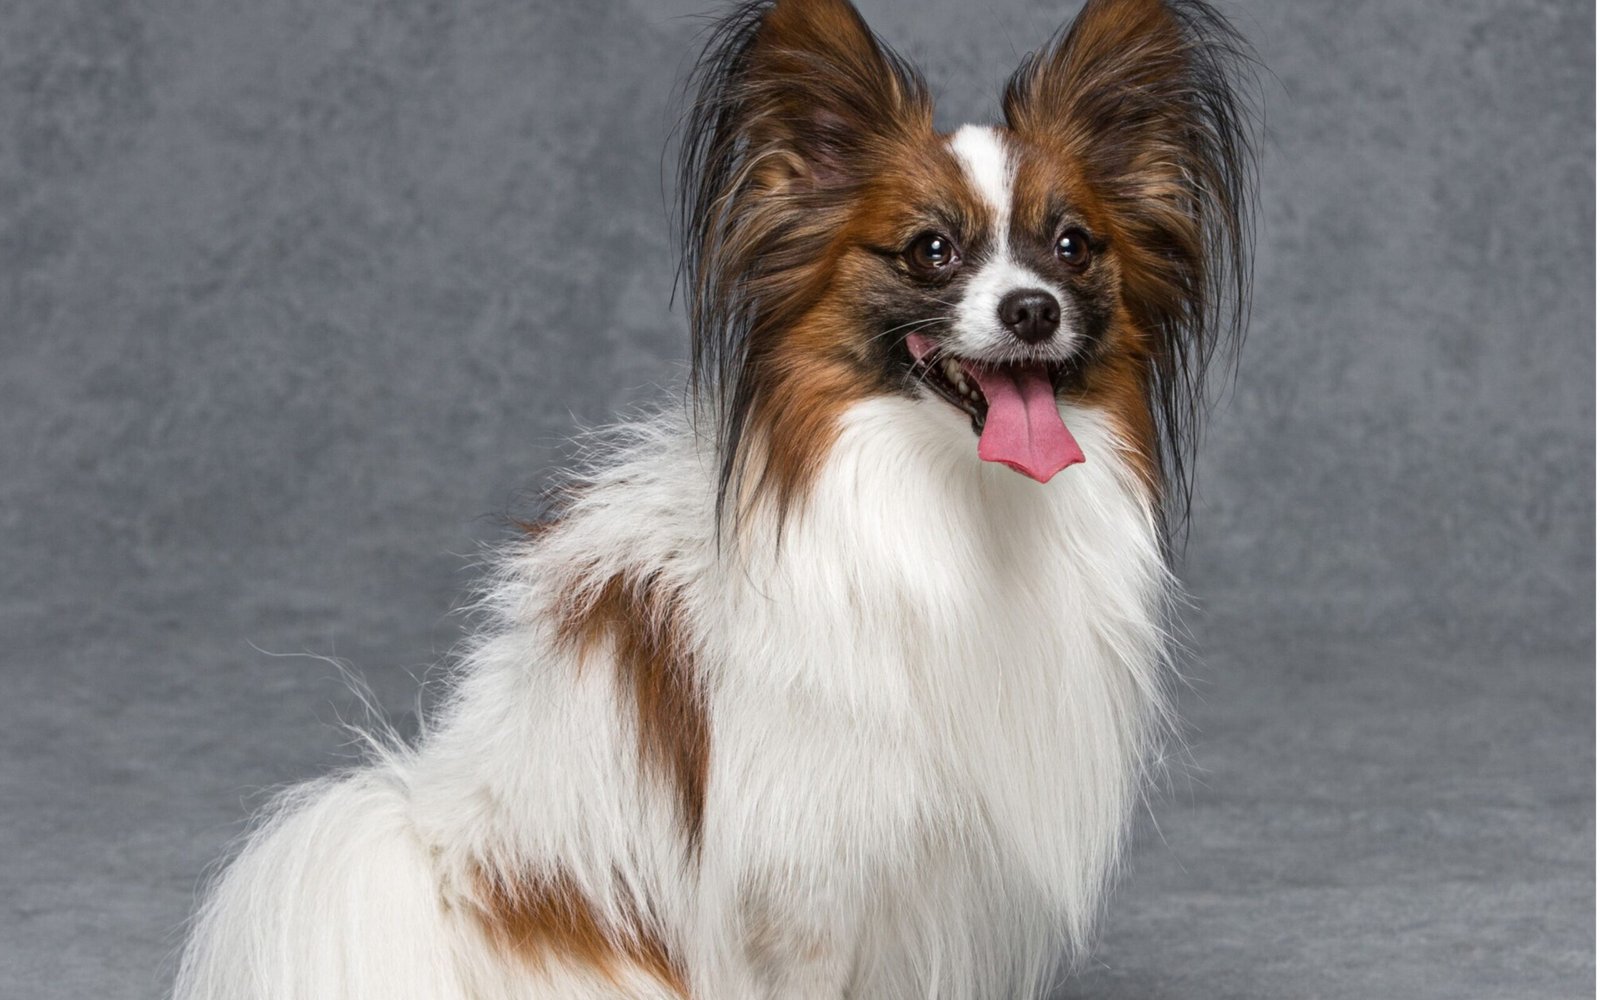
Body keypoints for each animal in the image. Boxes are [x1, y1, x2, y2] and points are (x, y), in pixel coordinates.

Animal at [172, 0, 1248, 992]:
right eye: (930, 251)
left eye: (1072, 247)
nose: (1031, 310)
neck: (957, 504)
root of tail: (434, 854)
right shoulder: (808, 876)